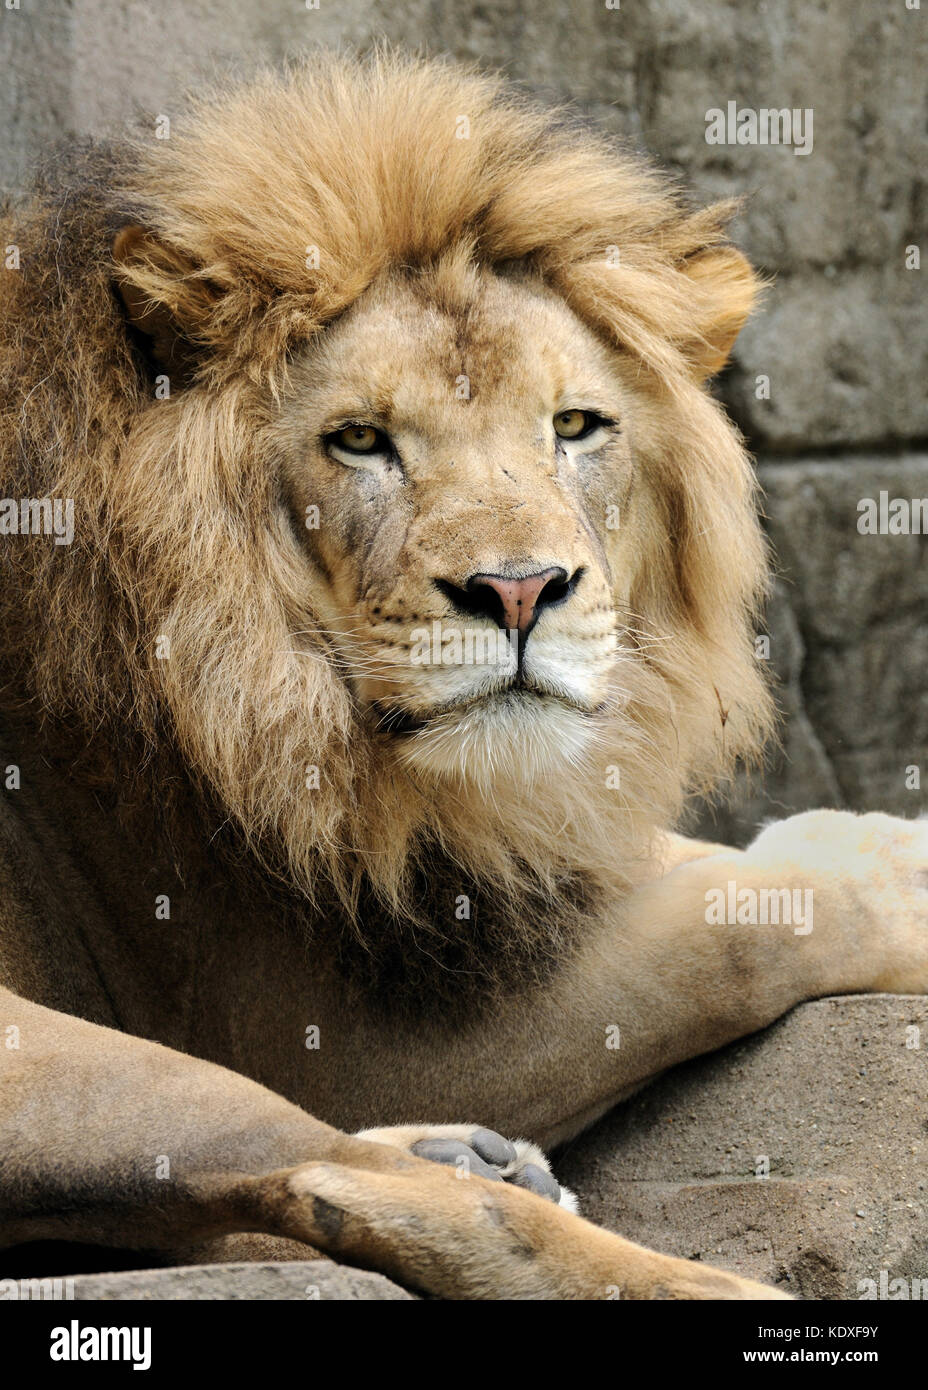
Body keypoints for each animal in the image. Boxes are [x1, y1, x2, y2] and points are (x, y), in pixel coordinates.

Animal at [0, 49, 925, 1301]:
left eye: (576, 426)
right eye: (359, 440)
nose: (522, 591)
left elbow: (713, 866)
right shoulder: (344, 1036)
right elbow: (742, 931)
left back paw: (479, 1154)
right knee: (353, 1188)